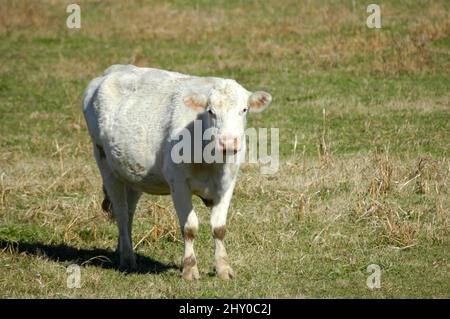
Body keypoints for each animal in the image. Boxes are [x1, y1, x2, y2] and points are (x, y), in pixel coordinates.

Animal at [81, 64, 270, 280]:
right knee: (120, 212)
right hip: (105, 164)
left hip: (131, 174)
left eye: (244, 109)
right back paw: (128, 259)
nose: (228, 142)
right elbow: (189, 228)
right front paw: (189, 269)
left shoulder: (228, 181)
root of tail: (113, 70)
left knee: (129, 213)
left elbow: (219, 228)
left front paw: (223, 269)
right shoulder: (178, 183)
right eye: (211, 111)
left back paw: (123, 252)